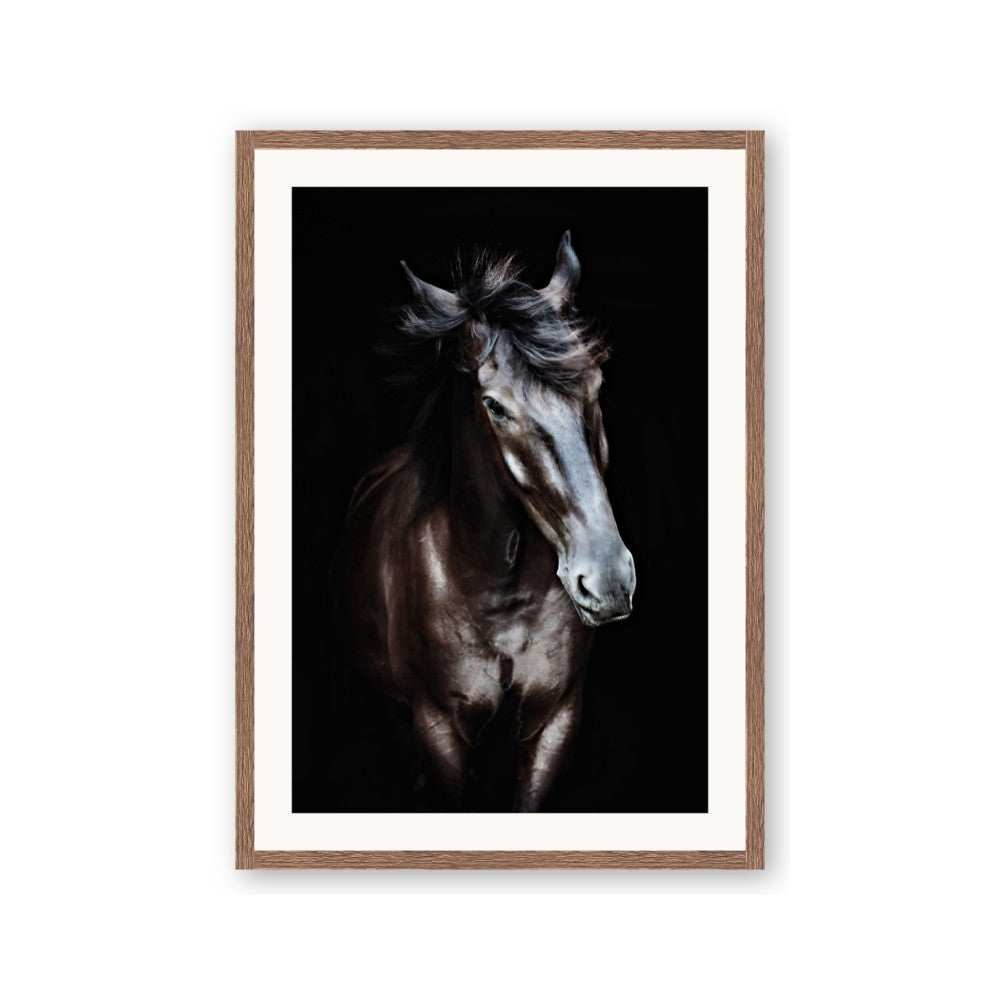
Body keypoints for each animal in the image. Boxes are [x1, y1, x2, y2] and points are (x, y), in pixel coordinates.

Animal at [344, 232, 636, 811]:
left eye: (594, 384)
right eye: (494, 406)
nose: (608, 580)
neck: (500, 593)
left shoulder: (554, 722)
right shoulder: (438, 729)